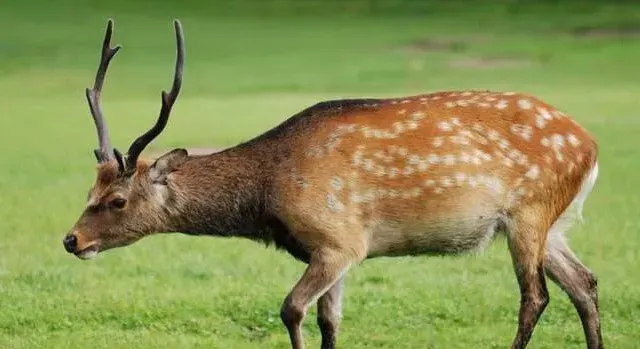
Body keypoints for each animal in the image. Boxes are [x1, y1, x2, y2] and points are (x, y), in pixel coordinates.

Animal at [62, 19, 604, 348]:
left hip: (529, 210)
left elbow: (291, 310)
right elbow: (330, 319)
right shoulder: (334, 250)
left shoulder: (338, 238)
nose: (71, 239)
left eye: (116, 200)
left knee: (536, 296)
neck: (269, 195)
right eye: (88, 191)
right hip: (551, 223)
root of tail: (590, 145)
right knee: (585, 283)